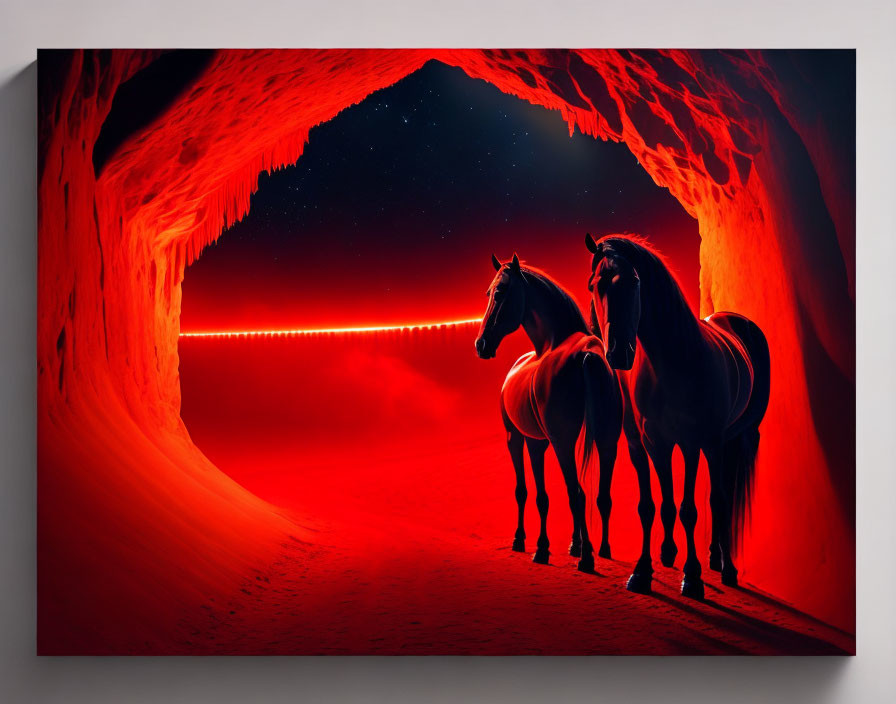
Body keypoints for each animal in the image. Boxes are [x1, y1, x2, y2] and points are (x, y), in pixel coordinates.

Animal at [476, 253, 624, 572]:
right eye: (488, 293)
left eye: (500, 291)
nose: (481, 344)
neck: (552, 345)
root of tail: (587, 354)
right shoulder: (539, 443)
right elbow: (547, 495)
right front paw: (561, 545)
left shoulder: (523, 439)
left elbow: (529, 492)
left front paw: (531, 544)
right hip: (606, 441)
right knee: (601, 496)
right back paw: (602, 549)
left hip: (556, 443)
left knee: (577, 493)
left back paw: (586, 557)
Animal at [588, 234, 768, 596]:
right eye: (594, 285)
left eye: (635, 282)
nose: (619, 352)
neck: (670, 363)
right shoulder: (653, 442)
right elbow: (655, 505)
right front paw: (643, 571)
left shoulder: (691, 443)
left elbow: (688, 509)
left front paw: (693, 576)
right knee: (715, 497)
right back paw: (709, 558)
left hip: (728, 440)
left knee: (721, 498)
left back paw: (726, 568)